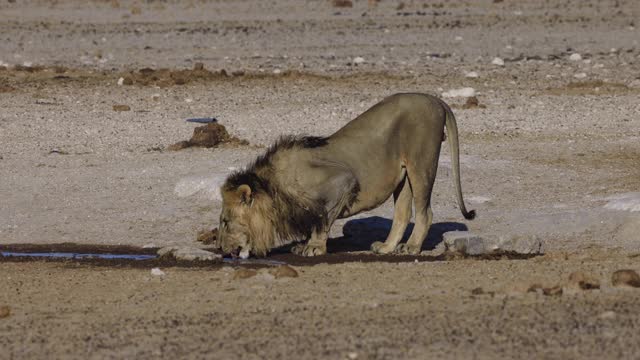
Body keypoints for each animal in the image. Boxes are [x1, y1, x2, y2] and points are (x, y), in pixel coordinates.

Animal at [218, 91, 472, 258]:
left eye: (225, 222)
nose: (221, 249)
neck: (273, 188)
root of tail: (435, 99)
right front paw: (303, 245)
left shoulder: (342, 181)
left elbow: (322, 218)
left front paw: (314, 247)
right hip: (404, 176)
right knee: (402, 213)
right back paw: (386, 247)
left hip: (421, 163)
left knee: (425, 213)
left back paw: (411, 247)